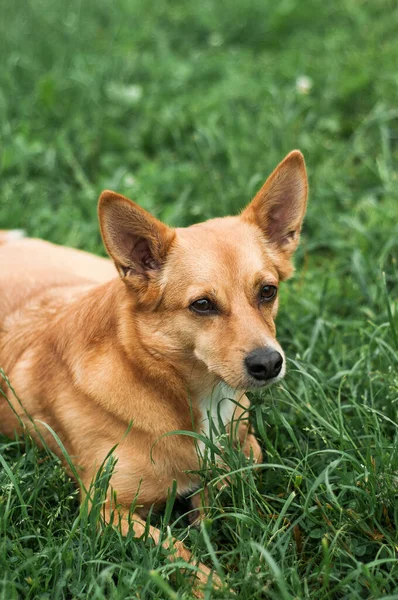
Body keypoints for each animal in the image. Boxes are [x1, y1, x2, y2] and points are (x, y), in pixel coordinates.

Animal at [0, 151, 308, 596]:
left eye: (268, 291)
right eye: (202, 305)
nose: (268, 363)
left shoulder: (246, 450)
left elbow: (221, 490)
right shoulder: (103, 508)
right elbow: (173, 552)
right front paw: (216, 583)